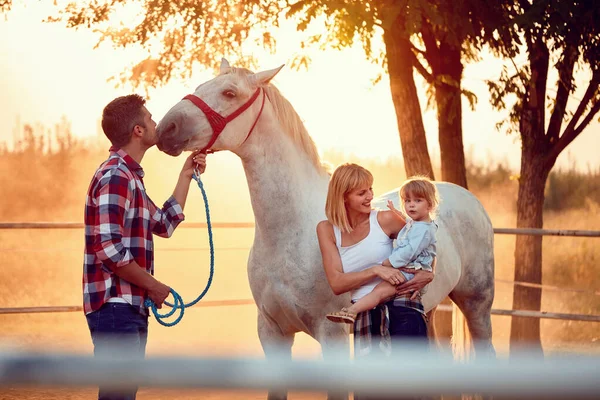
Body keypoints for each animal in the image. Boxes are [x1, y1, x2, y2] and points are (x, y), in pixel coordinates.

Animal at [156, 59, 496, 400]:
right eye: (201, 87)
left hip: (477, 305)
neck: (290, 235)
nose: (165, 130)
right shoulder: (272, 332)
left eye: (229, 92)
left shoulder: (332, 335)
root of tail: (469, 199)